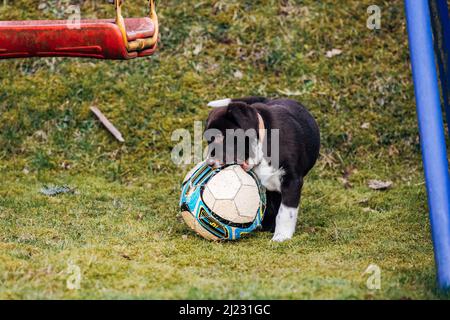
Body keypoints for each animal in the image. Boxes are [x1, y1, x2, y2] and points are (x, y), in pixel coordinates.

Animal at [204, 96, 320, 241]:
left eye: (221, 139)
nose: (209, 163)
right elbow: (270, 207)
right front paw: (269, 227)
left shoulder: (292, 180)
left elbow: (286, 211)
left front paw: (281, 236)